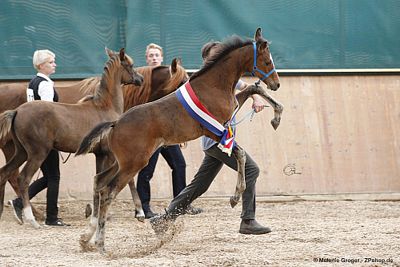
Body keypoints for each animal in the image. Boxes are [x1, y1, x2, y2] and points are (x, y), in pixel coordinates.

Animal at [76, 27, 280, 253]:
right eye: (267, 61)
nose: (276, 83)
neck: (213, 85)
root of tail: (116, 123)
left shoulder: (227, 119)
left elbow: (254, 89)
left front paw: (276, 116)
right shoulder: (215, 130)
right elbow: (240, 153)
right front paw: (235, 197)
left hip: (121, 162)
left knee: (99, 181)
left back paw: (87, 238)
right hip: (133, 164)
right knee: (108, 192)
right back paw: (101, 243)